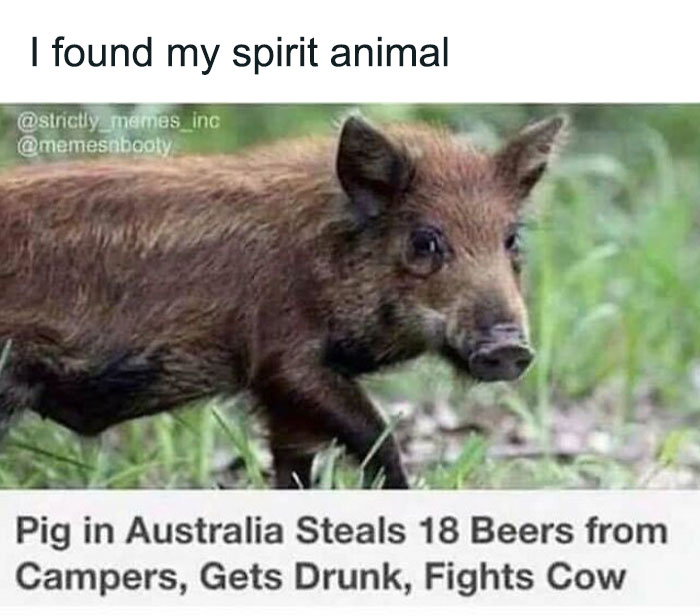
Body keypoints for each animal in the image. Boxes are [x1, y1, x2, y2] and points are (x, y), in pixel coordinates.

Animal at [0, 113, 565, 488]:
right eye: (425, 241)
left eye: (511, 239)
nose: (509, 348)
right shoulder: (284, 361)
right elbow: (378, 437)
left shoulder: (283, 398)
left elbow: (297, 464)